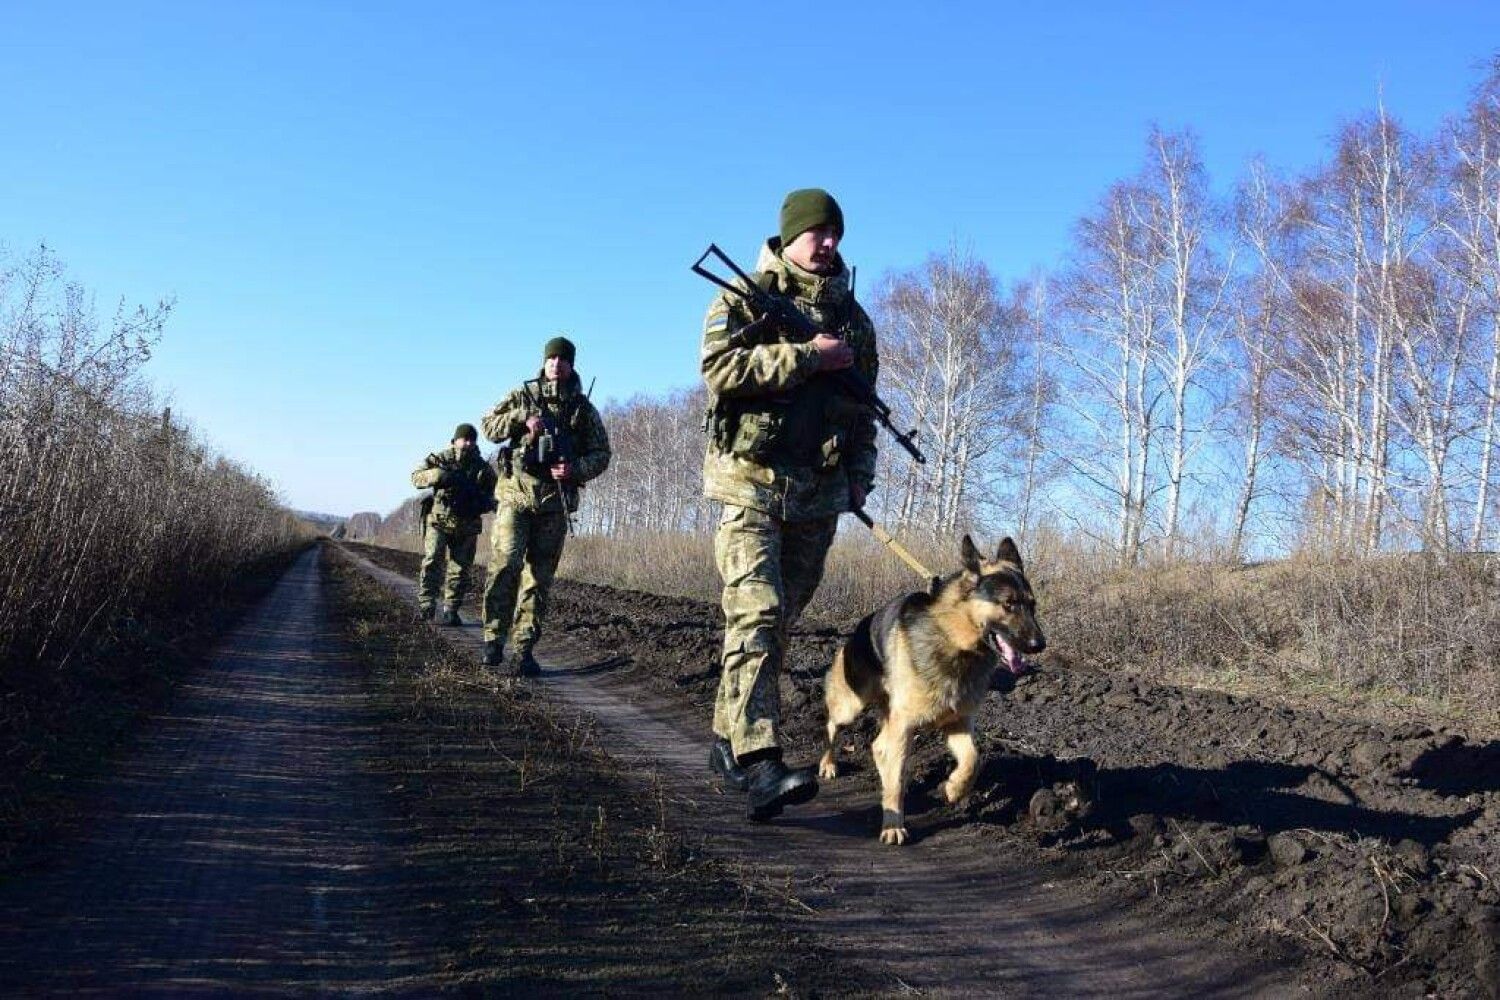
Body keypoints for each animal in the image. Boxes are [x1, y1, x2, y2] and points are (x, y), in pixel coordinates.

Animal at [822, 539, 1044, 845]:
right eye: (1009, 604)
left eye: (1032, 605)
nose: (1040, 644)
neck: (954, 642)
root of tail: (857, 630)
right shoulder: (904, 727)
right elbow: (897, 780)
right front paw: (893, 825)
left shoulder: (957, 723)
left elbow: (973, 760)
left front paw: (954, 788)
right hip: (852, 706)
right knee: (833, 726)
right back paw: (828, 764)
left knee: (878, 746)